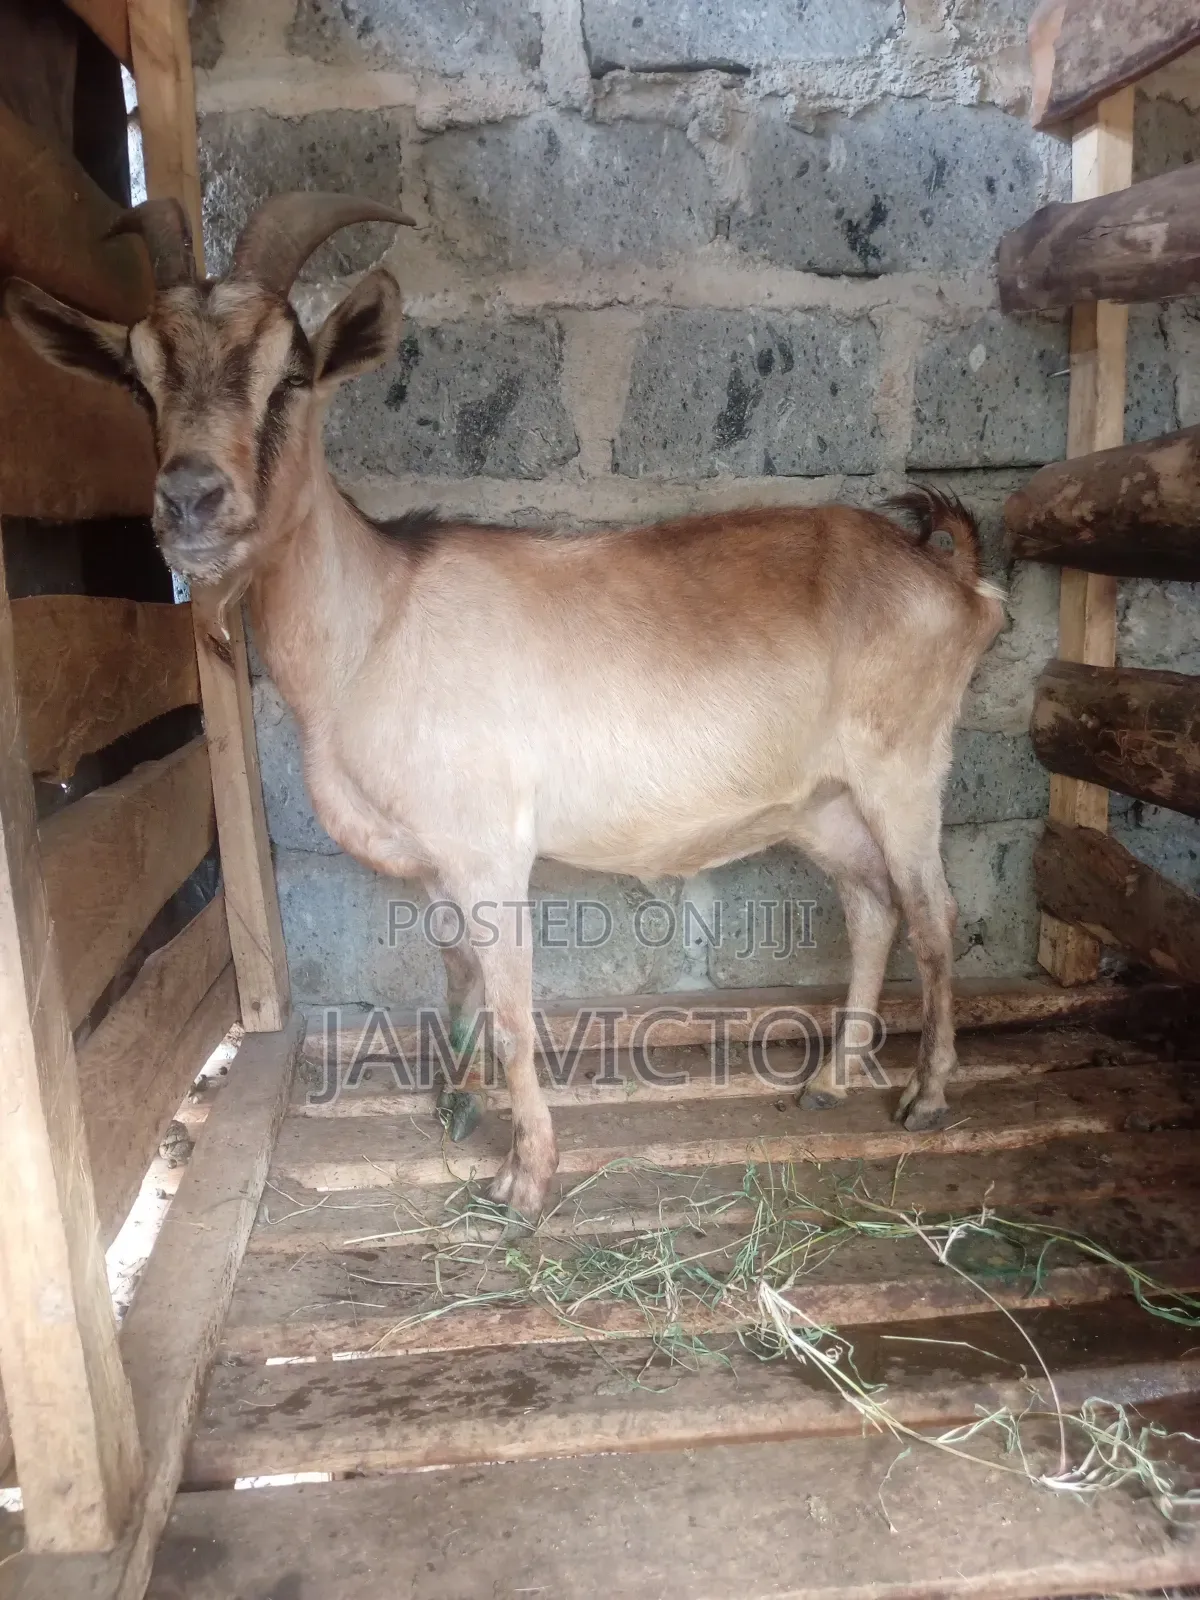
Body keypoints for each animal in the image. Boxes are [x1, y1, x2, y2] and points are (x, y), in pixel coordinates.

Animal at [5, 193, 1005, 1222]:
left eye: (292, 376)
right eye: (140, 383)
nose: (192, 499)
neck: (373, 626)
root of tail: (956, 582)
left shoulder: (492, 847)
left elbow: (517, 1004)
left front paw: (525, 1176)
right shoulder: (434, 858)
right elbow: (459, 978)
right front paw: (456, 1102)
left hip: (903, 772)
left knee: (932, 909)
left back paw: (926, 1095)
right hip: (820, 804)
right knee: (873, 905)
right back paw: (833, 1079)